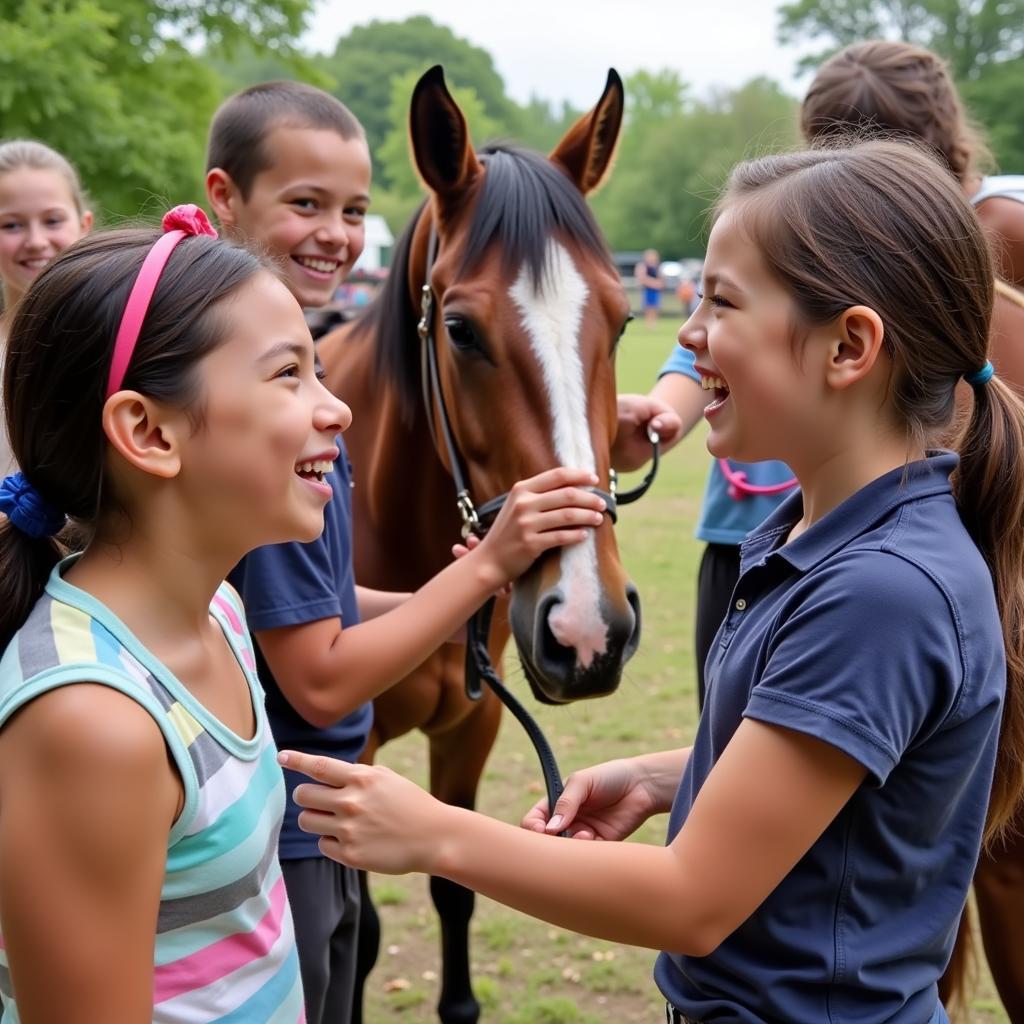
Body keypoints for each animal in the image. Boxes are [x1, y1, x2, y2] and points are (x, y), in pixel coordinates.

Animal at [319, 66, 638, 1024]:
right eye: (459, 330)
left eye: (622, 320)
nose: (588, 629)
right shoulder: (347, 748)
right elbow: (358, 932)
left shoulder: (475, 725)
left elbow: (455, 884)